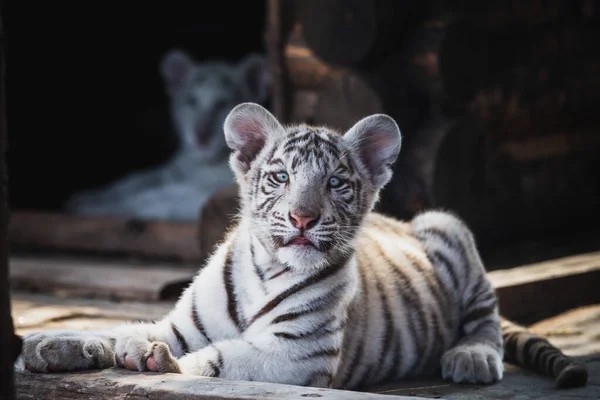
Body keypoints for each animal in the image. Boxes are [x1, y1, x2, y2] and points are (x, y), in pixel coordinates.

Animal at [18, 103, 584, 390]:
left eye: (335, 182)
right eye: (280, 177)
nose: (302, 217)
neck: (264, 271)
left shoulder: (293, 354)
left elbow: (216, 360)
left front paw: (161, 363)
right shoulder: (180, 325)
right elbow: (118, 329)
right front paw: (50, 347)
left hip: (445, 224)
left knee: (487, 317)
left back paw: (471, 358)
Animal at [65, 50, 270, 222]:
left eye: (222, 103)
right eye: (191, 101)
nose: (201, 136)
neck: (198, 165)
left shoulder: (198, 190)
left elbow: (151, 198)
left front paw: (93, 206)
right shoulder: (168, 173)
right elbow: (131, 182)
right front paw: (84, 198)